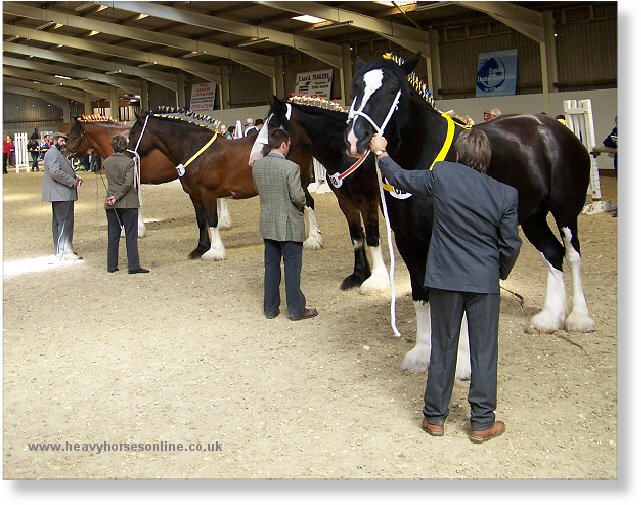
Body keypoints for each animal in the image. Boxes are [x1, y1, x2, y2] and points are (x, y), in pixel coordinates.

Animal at [127, 108, 322, 258]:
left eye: (133, 133)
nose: (126, 154)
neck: (195, 149)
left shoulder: (208, 193)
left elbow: (212, 220)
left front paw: (215, 251)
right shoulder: (194, 196)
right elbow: (201, 221)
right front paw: (200, 248)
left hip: (299, 183)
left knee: (308, 203)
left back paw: (313, 239)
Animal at [262, 95, 390, 294]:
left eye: (274, 124)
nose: (259, 156)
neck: (345, 154)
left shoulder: (368, 201)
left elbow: (372, 237)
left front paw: (377, 280)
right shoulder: (346, 202)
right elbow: (356, 237)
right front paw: (359, 275)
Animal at [344, 52, 596, 374]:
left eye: (391, 90)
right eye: (356, 87)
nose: (356, 139)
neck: (422, 159)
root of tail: (555, 126)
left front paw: (462, 362)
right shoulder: (407, 240)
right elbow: (420, 293)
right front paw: (422, 353)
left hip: (565, 211)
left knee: (573, 255)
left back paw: (579, 318)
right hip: (532, 216)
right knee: (553, 252)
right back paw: (549, 318)